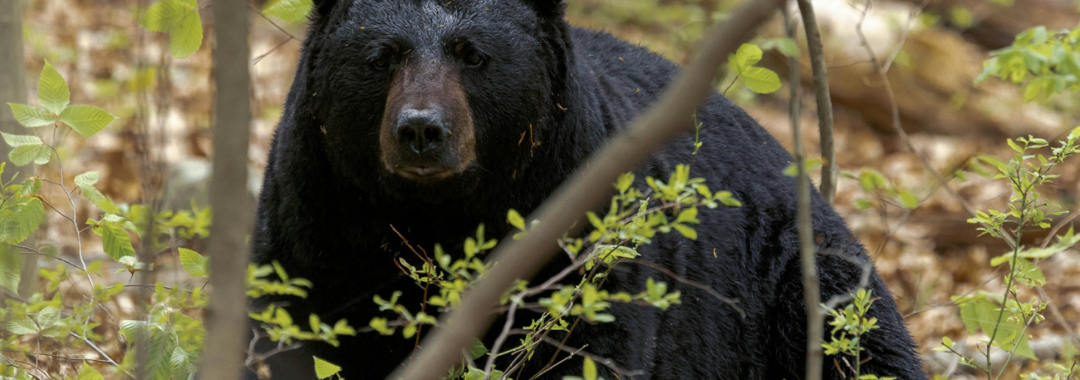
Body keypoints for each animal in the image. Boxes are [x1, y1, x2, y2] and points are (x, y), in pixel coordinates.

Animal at [248, 0, 924, 380]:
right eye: (382, 56)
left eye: (473, 54)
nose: (420, 131)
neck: (437, 217)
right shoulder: (315, 223)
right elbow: (286, 336)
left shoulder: (582, 237)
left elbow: (587, 347)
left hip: (800, 283)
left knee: (862, 346)